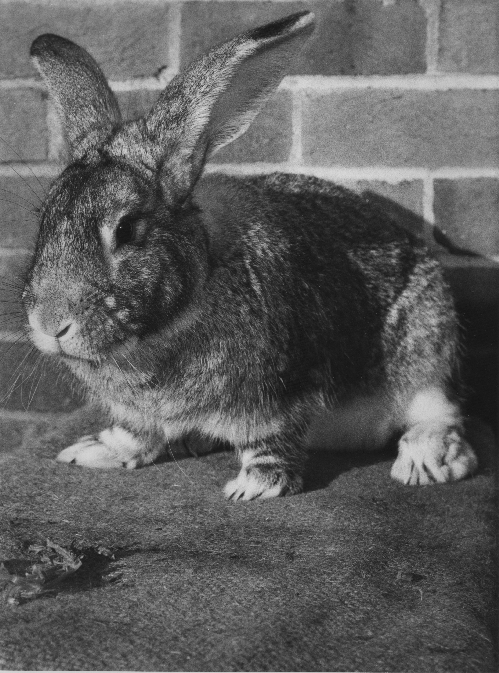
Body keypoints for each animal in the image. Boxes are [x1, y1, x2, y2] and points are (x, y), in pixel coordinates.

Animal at [21, 11, 478, 498]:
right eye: (45, 215)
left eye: (127, 229)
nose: (50, 324)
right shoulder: (137, 415)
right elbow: (135, 435)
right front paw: (91, 452)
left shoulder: (276, 395)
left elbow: (270, 440)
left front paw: (254, 487)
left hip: (428, 352)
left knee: (441, 416)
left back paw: (424, 461)